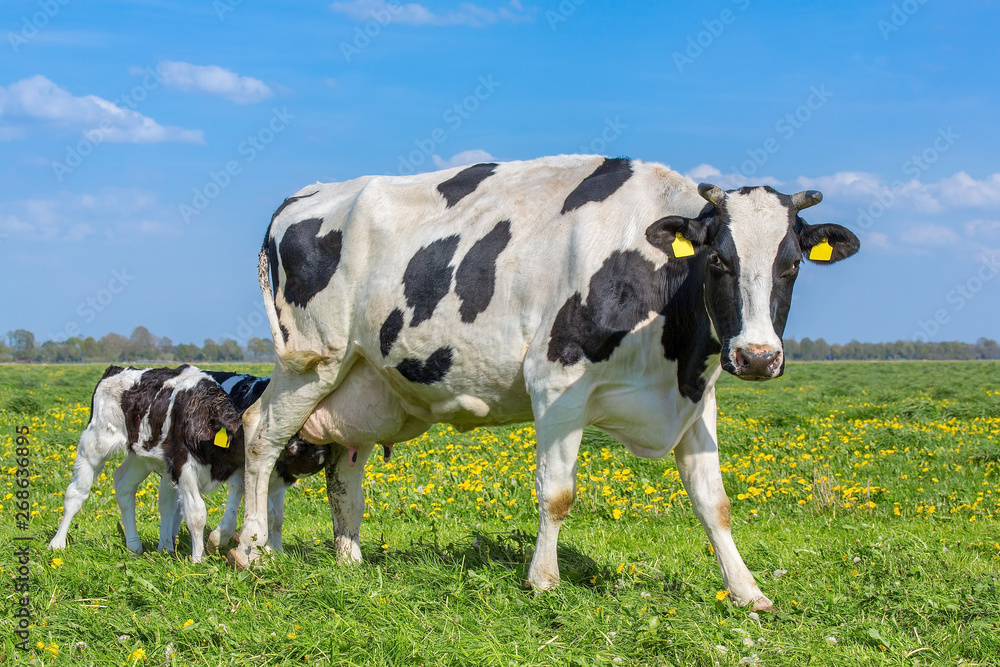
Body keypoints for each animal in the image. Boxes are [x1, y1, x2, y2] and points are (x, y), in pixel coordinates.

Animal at [49, 366, 332, 560]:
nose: (320, 455)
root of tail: (117, 369)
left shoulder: (241, 471)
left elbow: (268, 514)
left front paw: (271, 551)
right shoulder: (184, 466)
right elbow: (197, 514)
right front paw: (199, 558)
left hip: (141, 456)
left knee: (127, 485)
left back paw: (140, 545)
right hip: (95, 442)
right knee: (77, 492)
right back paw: (58, 543)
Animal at [234, 153, 860, 612]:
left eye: (791, 265)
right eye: (718, 263)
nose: (757, 357)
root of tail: (306, 193)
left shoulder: (694, 398)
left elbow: (715, 503)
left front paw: (747, 591)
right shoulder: (558, 382)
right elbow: (557, 492)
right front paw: (542, 580)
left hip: (364, 380)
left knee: (344, 467)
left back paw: (349, 560)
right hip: (311, 358)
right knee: (260, 435)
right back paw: (250, 549)